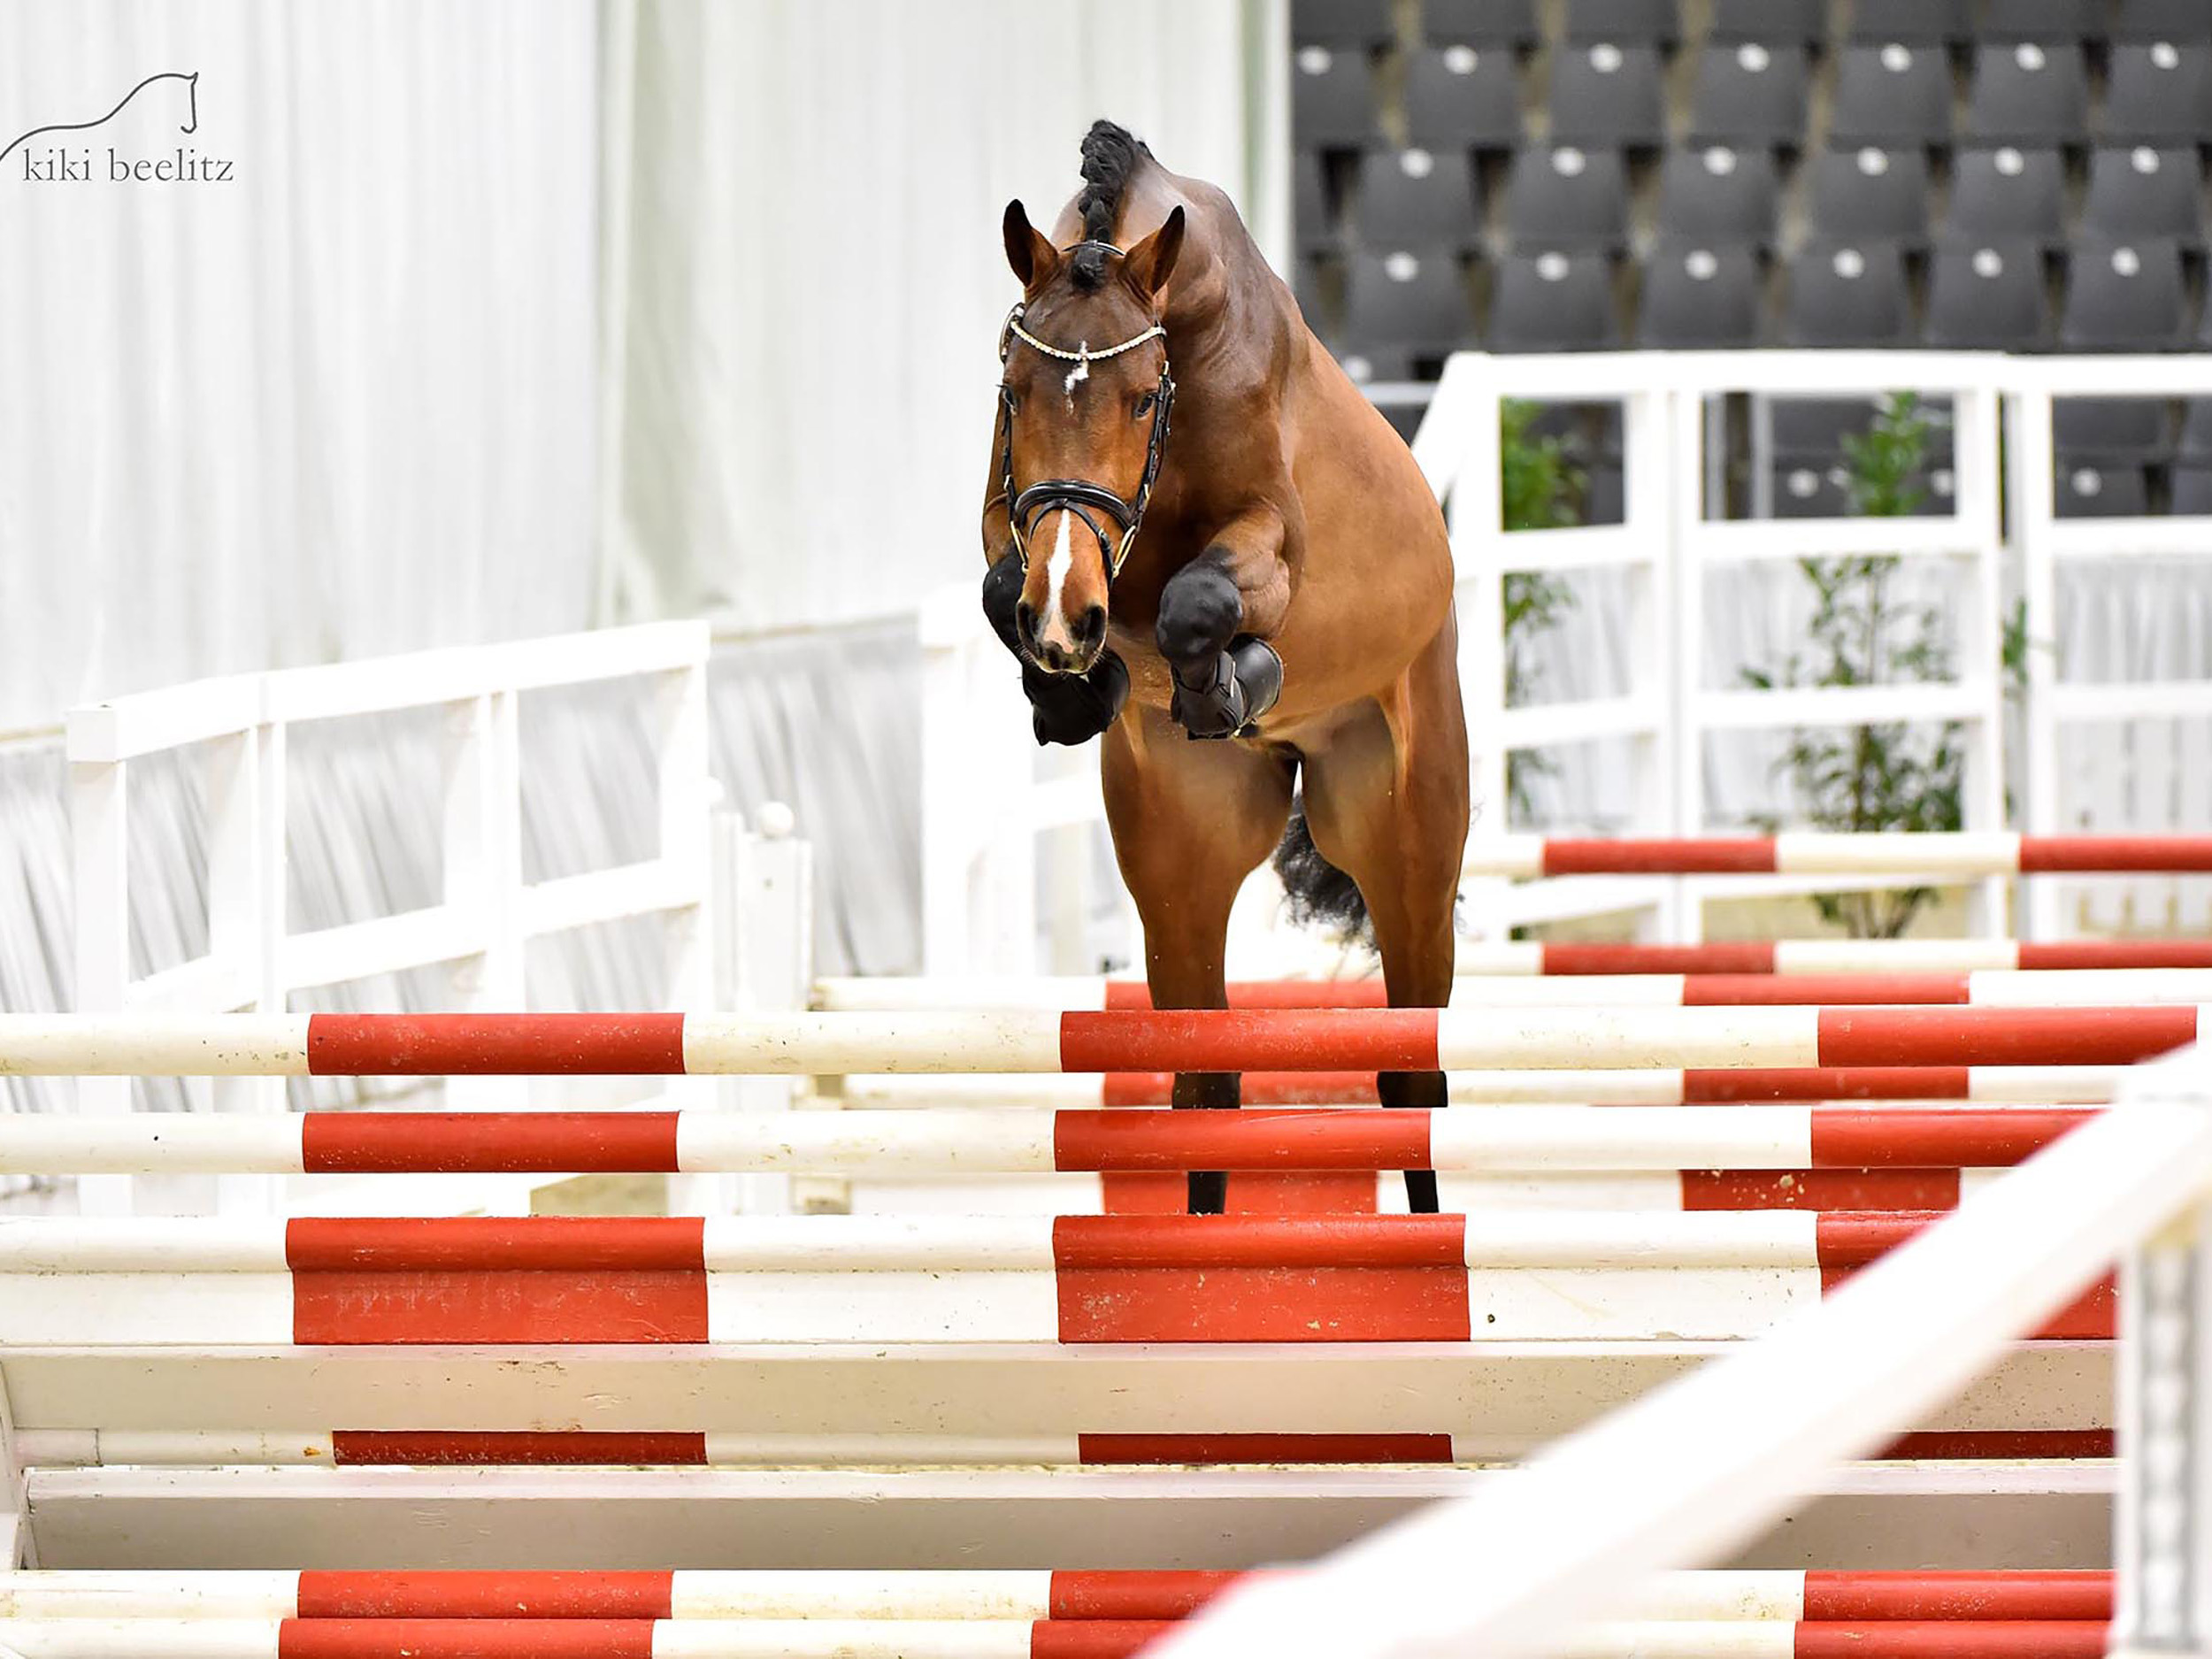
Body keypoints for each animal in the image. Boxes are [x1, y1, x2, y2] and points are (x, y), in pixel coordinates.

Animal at [982, 117, 1469, 1212]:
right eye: (1017, 390)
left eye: (1136, 402)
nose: (1069, 617)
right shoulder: (1014, 514)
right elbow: (1002, 588)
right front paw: (1075, 691)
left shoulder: (1269, 543)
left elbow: (1197, 602)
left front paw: (1228, 680)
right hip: (1183, 854)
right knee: (1204, 1080)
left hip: (1404, 836)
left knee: (1411, 1073)